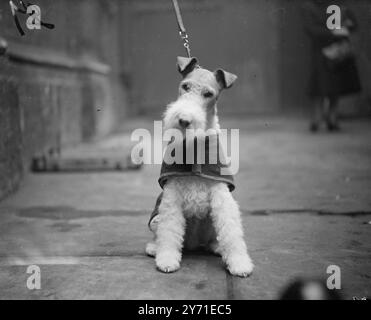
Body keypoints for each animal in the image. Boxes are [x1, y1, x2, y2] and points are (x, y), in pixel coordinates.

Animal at [147, 57, 254, 278]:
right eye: (185, 86)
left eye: (208, 94)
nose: (184, 120)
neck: (194, 145)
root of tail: (195, 245)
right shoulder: (171, 195)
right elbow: (169, 231)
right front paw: (167, 260)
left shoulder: (221, 194)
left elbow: (231, 231)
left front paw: (239, 264)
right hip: (156, 219)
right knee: (160, 233)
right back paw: (154, 248)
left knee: (215, 238)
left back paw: (217, 247)